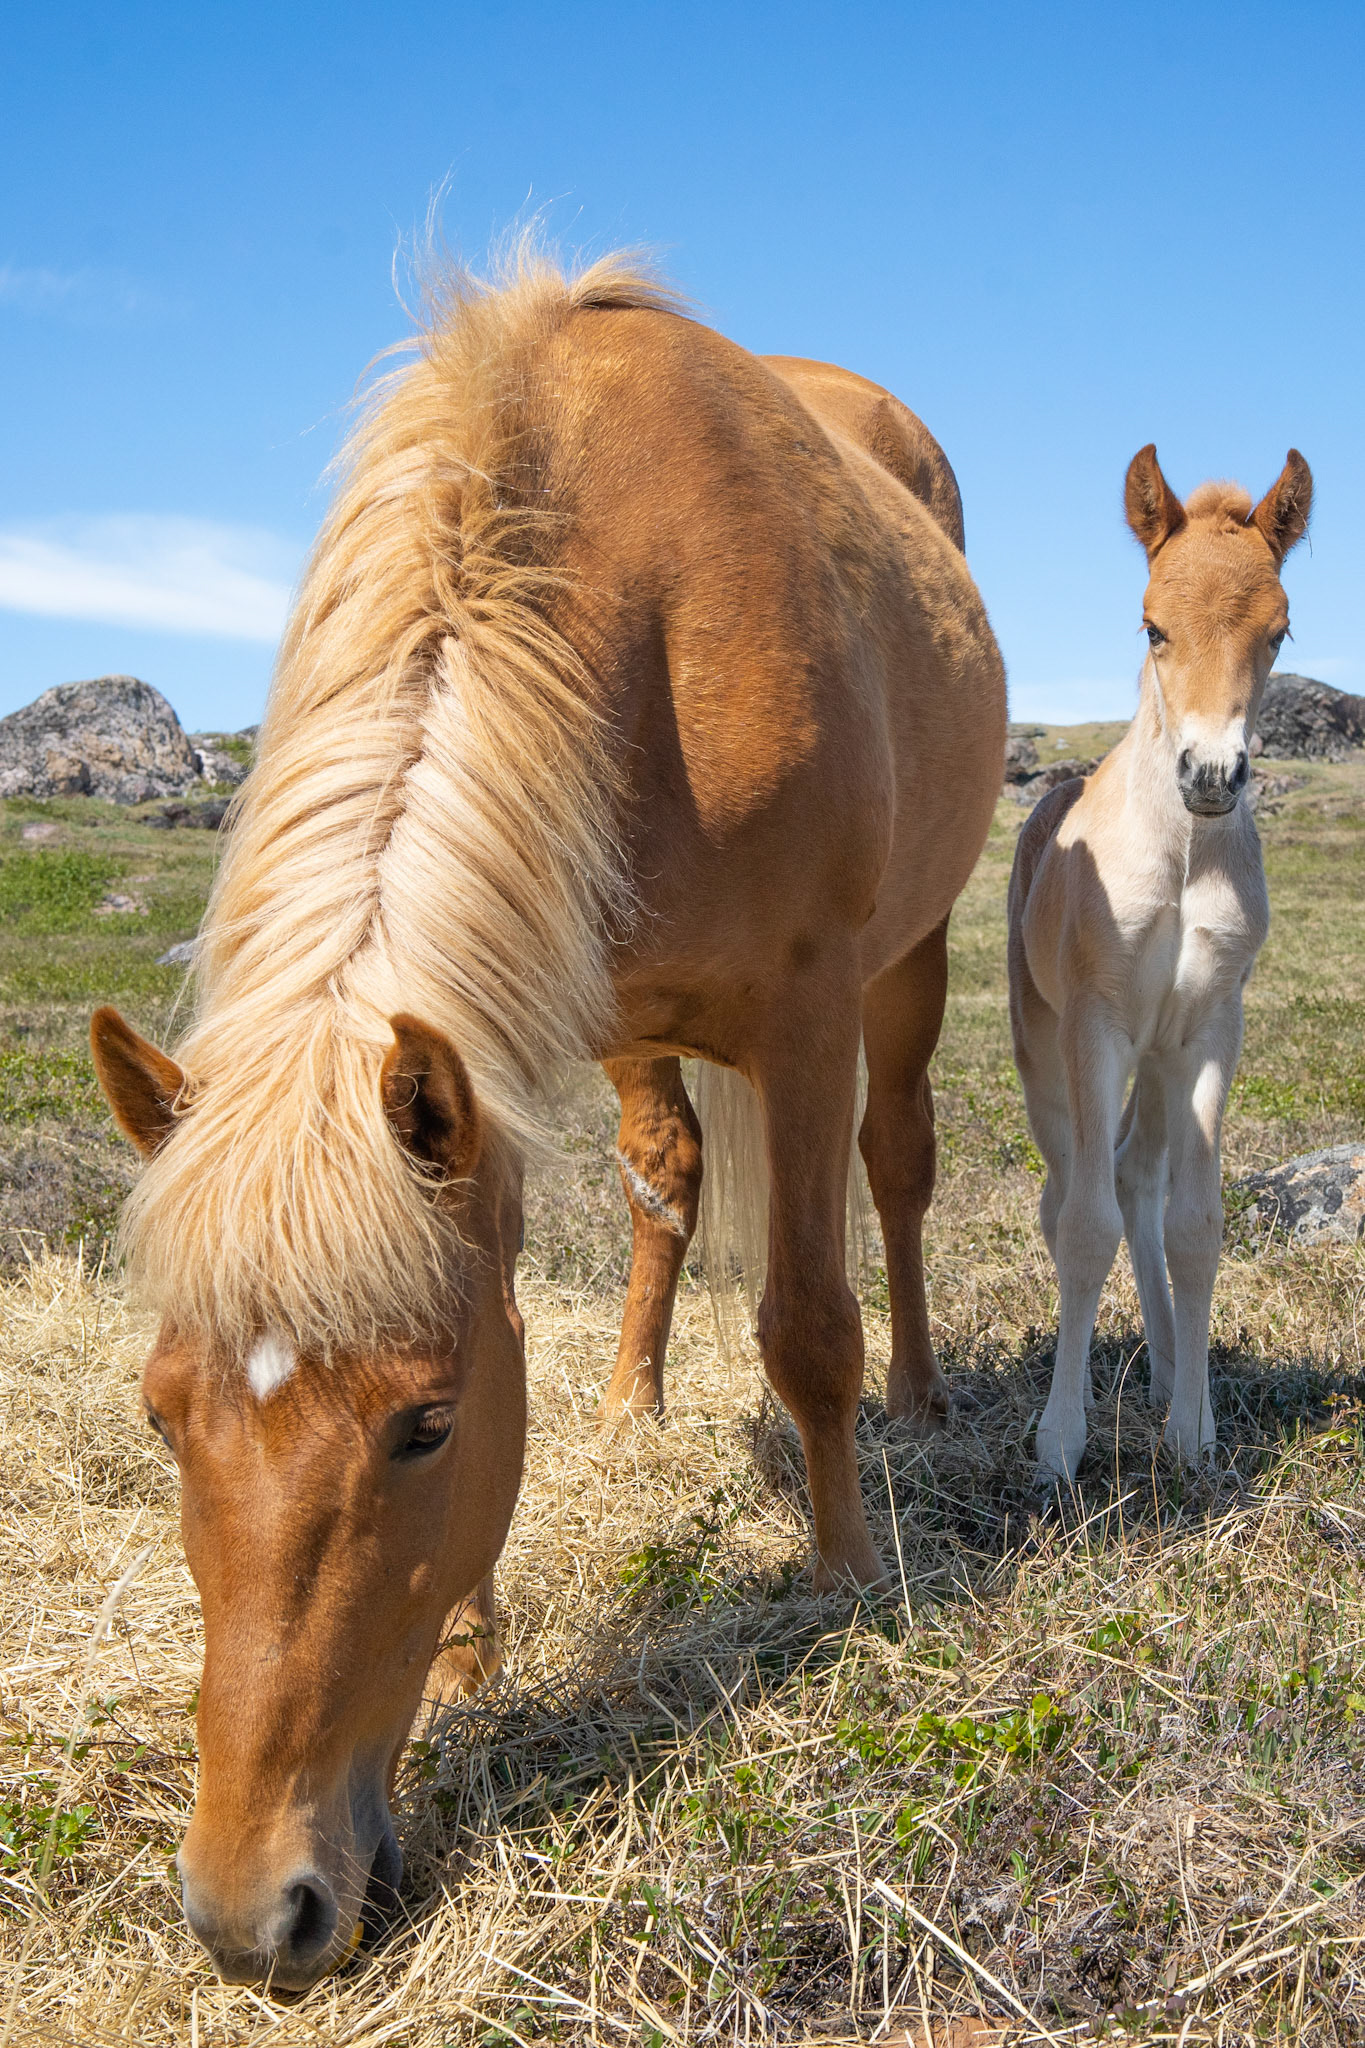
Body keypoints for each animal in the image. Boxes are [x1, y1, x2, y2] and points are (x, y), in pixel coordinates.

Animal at [90, 249, 1006, 1990]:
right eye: (165, 1418)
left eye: (425, 1426)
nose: (254, 1915)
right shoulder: (502, 1056)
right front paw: (465, 1654)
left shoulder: (805, 1015)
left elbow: (809, 1324)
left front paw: (847, 1578)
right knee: (668, 1176)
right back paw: (633, 1407)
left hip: (904, 966)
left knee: (897, 1173)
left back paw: (922, 1400)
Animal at [1008, 443, 1311, 1485]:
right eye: (1152, 626)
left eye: (1279, 630)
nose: (1210, 777)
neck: (1181, 859)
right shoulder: (1096, 1023)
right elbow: (1084, 1226)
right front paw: (1059, 1442)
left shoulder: (1209, 1029)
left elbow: (1193, 1224)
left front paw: (1194, 1428)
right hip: (1047, 1050)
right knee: (1071, 1190)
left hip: (1156, 1060)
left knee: (1140, 1181)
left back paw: (1170, 1366)